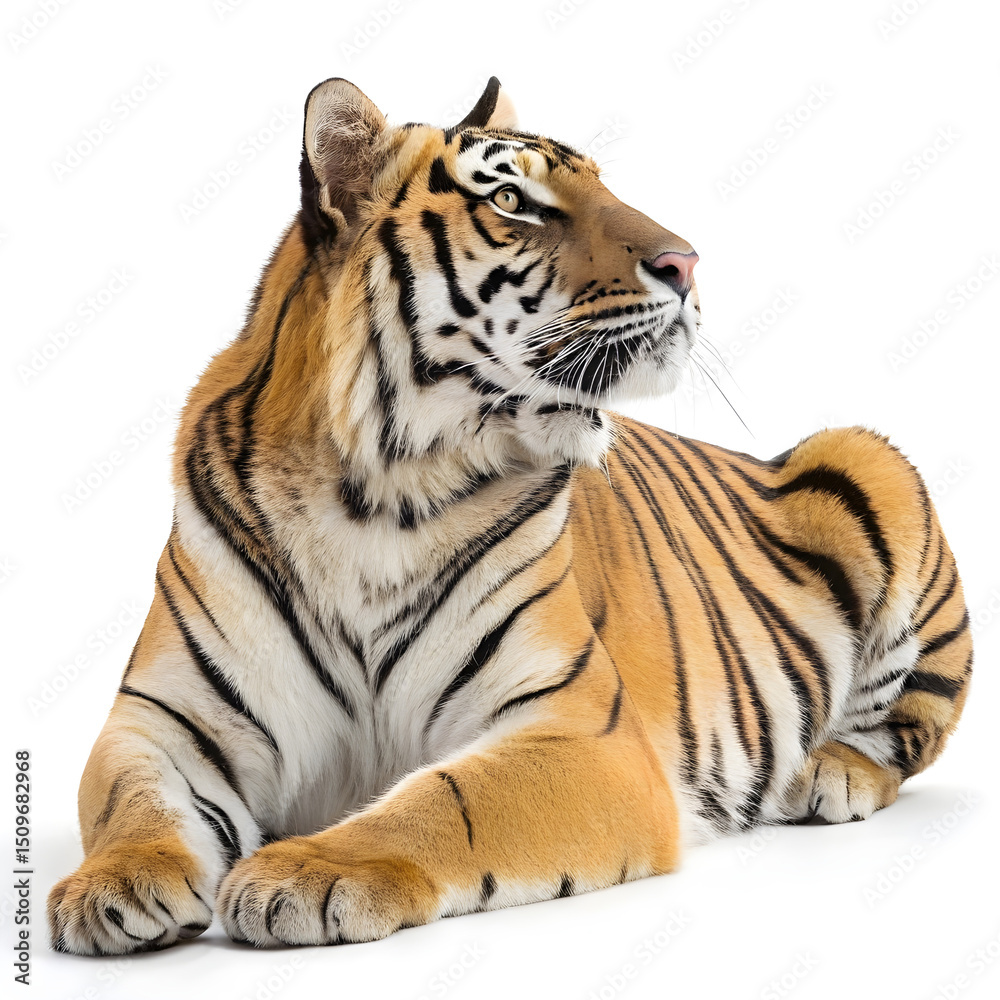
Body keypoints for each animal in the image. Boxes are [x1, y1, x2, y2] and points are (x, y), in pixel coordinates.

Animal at [48, 76, 972, 955]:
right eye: (512, 201)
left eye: (601, 184)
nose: (687, 264)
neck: (372, 496)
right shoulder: (162, 721)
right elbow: (136, 803)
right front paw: (111, 887)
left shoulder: (581, 732)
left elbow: (438, 803)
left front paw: (302, 873)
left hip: (867, 460)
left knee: (905, 731)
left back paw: (826, 776)